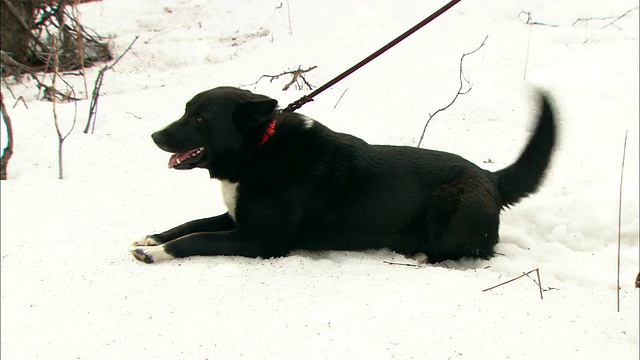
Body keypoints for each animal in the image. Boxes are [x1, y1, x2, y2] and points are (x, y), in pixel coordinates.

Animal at [130, 86, 556, 262]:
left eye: (200, 118)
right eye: (186, 110)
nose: (154, 136)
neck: (260, 150)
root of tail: (491, 178)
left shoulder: (260, 241)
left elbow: (196, 239)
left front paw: (155, 253)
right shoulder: (237, 216)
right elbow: (192, 224)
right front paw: (153, 237)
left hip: (456, 202)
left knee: (471, 251)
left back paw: (421, 254)